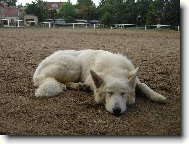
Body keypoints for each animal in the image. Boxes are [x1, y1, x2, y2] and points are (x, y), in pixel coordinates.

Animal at [33, 49, 166, 115]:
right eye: (109, 93)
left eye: (123, 94)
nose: (116, 111)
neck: (114, 69)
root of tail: (38, 67)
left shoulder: (137, 83)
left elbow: (145, 87)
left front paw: (158, 96)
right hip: (73, 67)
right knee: (50, 79)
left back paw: (79, 86)